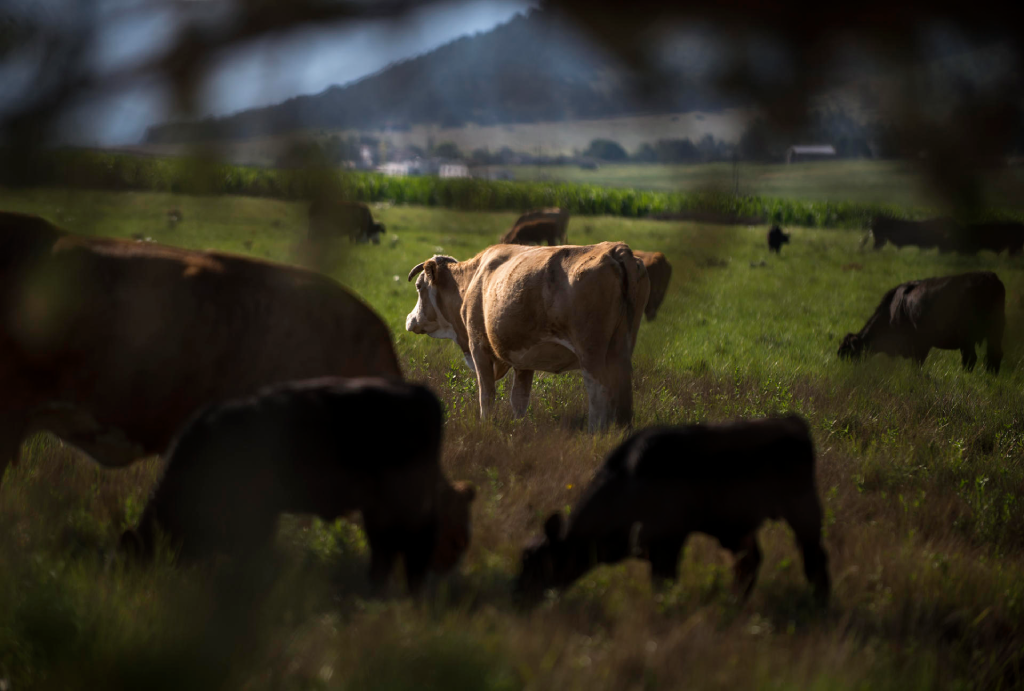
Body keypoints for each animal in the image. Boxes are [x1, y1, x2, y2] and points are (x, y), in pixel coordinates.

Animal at [125, 378, 477, 593]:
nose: (150, 581)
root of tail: (422, 395)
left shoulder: (258, 513)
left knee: (409, 549)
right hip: (379, 509)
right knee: (387, 551)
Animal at [401, 243, 647, 432]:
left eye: (419, 286)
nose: (409, 319)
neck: (471, 283)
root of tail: (615, 248)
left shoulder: (478, 347)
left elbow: (486, 395)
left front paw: (485, 426)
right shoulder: (524, 359)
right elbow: (519, 399)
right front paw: (518, 429)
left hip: (591, 353)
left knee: (599, 393)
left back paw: (594, 434)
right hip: (620, 351)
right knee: (622, 392)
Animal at [520, 415, 831, 606]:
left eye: (540, 561)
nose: (517, 597)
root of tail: (791, 422)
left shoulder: (668, 543)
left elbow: (663, 583)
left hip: (803, 510)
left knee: (814, 557)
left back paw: (819, 603)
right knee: (749, 563)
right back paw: (733, 604)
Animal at [839, 270, 1007, 372]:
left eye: (848, 351)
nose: (839, 357)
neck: (892, 309)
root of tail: (989, 277)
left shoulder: (920, 344)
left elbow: (917, 365)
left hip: (968, 337)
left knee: (971, 359)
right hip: (994, 333)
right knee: (993, 356)